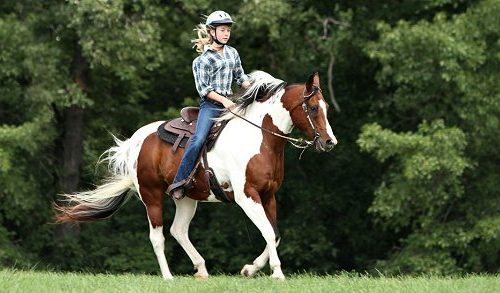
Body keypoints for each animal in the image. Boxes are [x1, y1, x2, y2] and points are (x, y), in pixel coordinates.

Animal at [54, 70, 338, 278]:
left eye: (325, 106)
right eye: (313, 108)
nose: (329, 142)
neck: (259, 138)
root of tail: (135, 142)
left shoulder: (268, 195)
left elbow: (275, 234)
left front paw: (250, 269)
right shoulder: (247, 196)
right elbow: (268, 231)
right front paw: (277, 273)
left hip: (186, 198)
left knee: (178, 230)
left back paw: (201, 269)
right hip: (151, 195)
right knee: (157, 236)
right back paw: (168, 277)